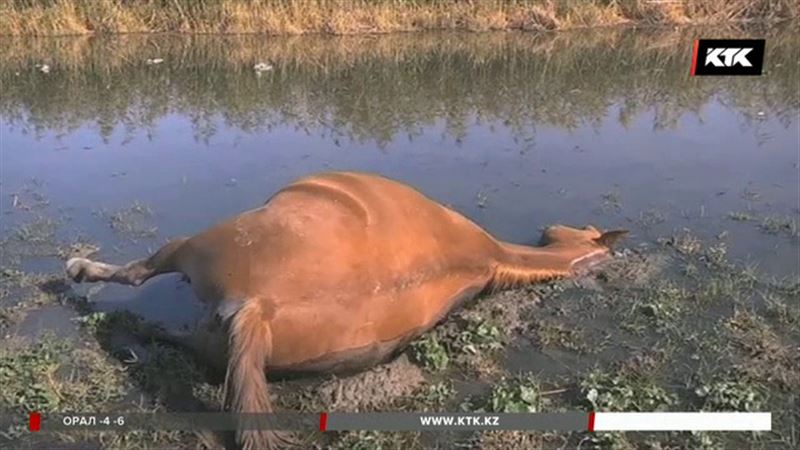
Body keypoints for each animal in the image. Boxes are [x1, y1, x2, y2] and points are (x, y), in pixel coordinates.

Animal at [64, 171, 624, 448]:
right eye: (585, 227)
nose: (553, 225)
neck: (487, 254)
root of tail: (262, 308)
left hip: (195, 248)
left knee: (139, 278)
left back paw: (80, 273)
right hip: (221, 335)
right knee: (177, 342)